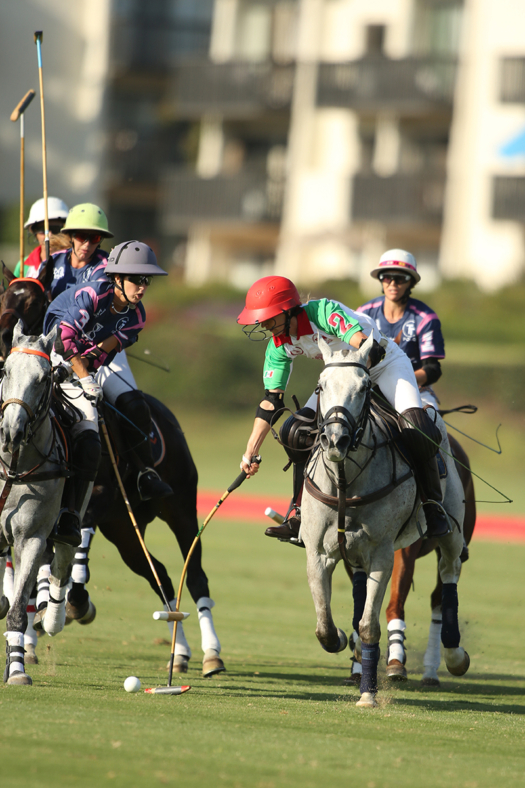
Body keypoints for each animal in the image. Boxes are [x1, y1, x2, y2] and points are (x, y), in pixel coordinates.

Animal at [300, 336, 468, 712]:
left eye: (363, 388)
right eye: (320, 386)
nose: (335, 441)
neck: (345, 480)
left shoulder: (382, 554)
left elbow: (368, 627)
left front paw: (368, 694)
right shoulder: (317, 553)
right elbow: (323, 626)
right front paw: (340, 641)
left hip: (452, 528)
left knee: (449, 575)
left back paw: (454, 654)